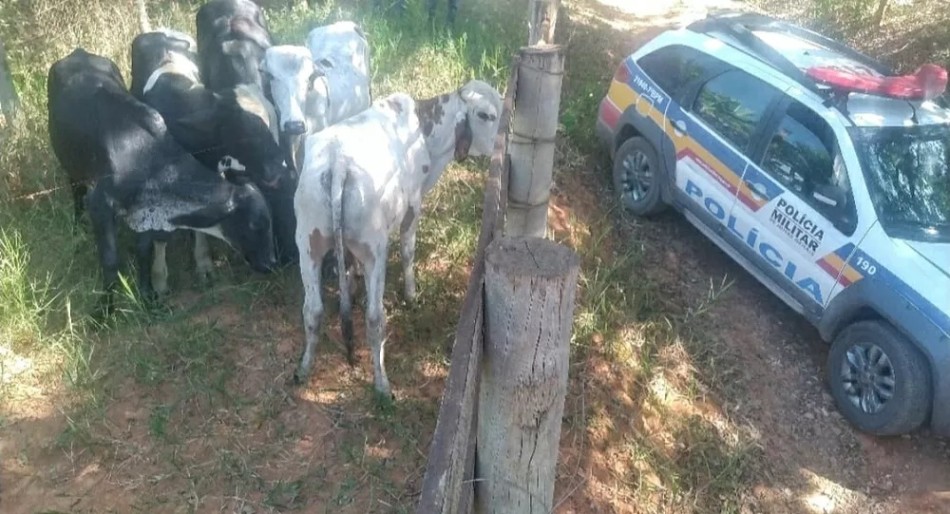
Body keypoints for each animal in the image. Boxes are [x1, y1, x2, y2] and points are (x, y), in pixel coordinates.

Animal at [47, 48, 278, 314]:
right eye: (256, 224)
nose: (271, 263)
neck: (146, 158)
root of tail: (78, 53)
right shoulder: (99, 205)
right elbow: (110, 261)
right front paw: (104, 310)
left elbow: (144, 250)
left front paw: (147, 295)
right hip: (69, 164)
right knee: (75, 190)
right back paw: (77, 226)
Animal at [294, 79, 506, 396]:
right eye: (484, 115)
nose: (502, 145)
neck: (425, 133)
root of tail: (338, 163)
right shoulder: (413, 206)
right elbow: (407, 252)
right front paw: (411, 294)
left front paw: (353, 282)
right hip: (375, 250)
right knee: (374, 319)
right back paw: (382, 384)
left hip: (308, 245)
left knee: (312, 310)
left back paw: (305, 366)